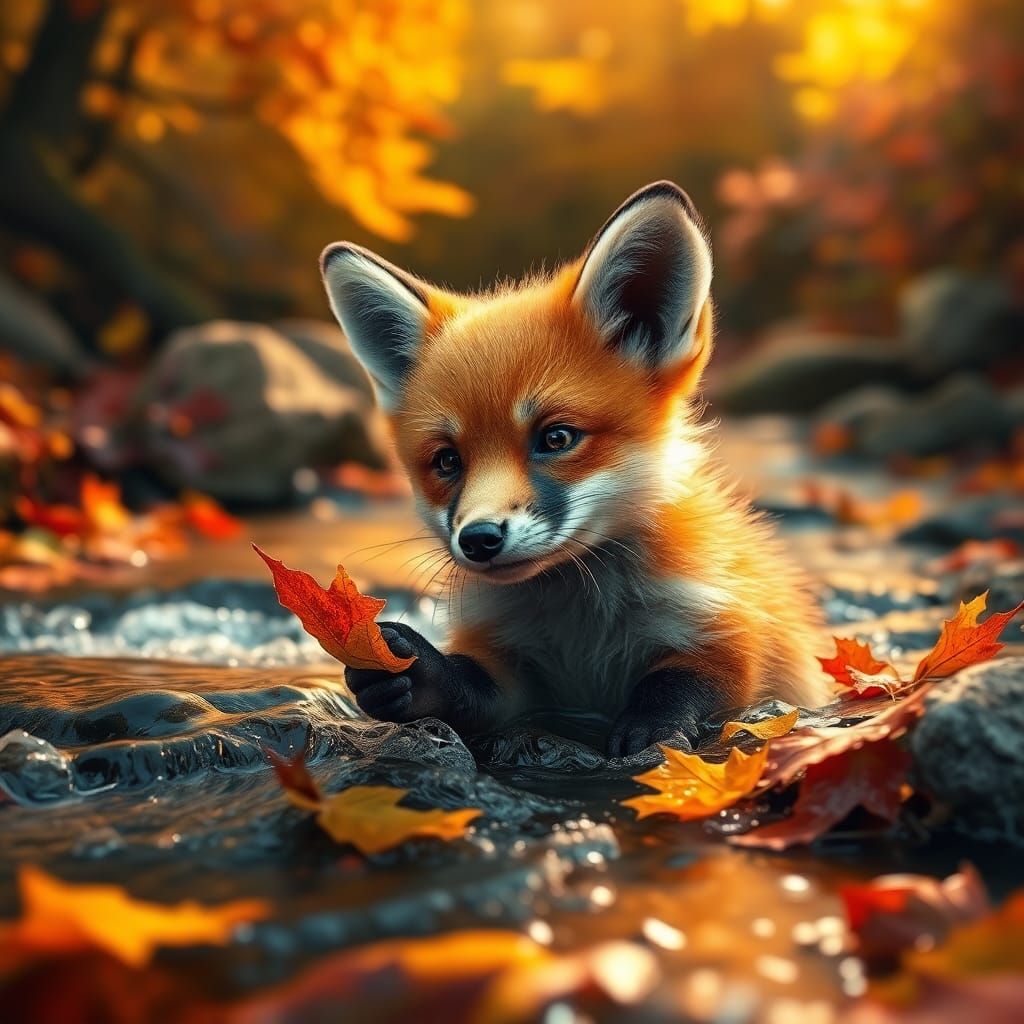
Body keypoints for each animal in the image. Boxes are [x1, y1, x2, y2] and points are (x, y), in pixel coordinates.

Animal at [321, 181, 831, 757]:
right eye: (448, 460)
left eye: (556, 437)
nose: (479, 539)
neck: (585, 633)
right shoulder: (518, 672)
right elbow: (476, 689)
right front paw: (420, 675)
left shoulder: (732, 630)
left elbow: (686, 680)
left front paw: (653, 730)